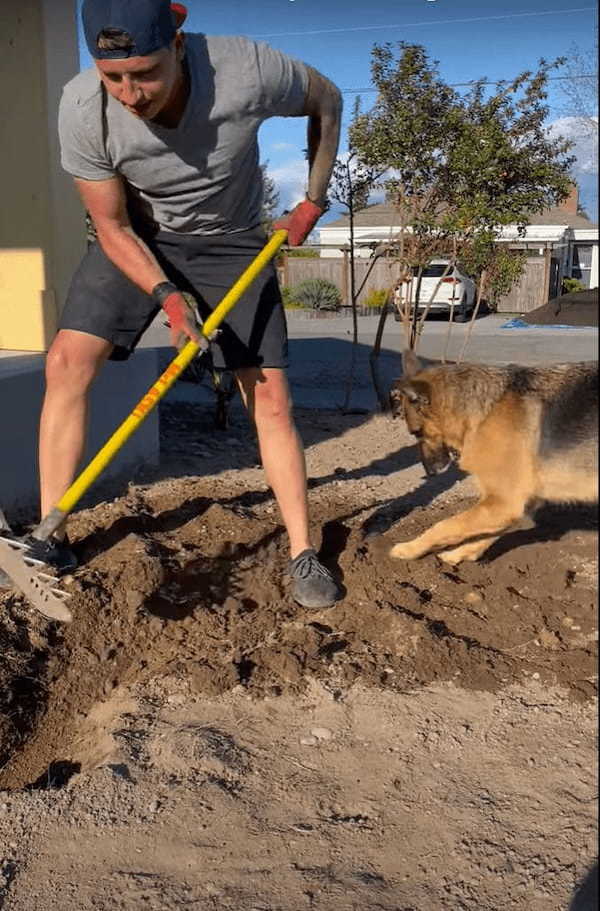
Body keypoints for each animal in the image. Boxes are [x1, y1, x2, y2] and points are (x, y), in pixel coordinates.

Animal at [386, 352, 596, 568]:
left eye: (416, 433)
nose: (430, 472)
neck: (481, 413)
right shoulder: (514, 503)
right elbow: (485, 534)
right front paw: (460, 554)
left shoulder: (504, 502)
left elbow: (446, 525)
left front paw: (410, 549)